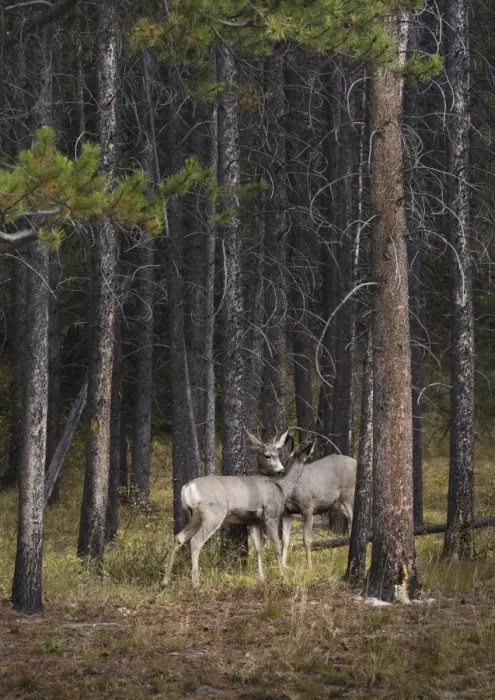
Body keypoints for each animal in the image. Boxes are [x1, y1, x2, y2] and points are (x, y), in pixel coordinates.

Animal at [161, 430, 315, 588]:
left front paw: (261, 577)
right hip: (213, 514)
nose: (280, 470)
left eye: (279, 454)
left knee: (179, 537)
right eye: (267, 456)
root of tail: (188, 488)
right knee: (196, 541)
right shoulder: (271, 514)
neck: (281, 487)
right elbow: (276, 546)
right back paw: (196, 584)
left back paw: (165, 581)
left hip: (195, 516)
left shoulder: (252, 520)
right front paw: (282, 576)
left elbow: (258, 548)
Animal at [249, 430, 357, 569]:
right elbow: (285, 540)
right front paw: (284, 565)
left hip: (349, 495)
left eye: (277, 455)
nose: (280, 470)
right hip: (338, 503)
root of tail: (356, 462)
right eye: (266, 455)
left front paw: (309, 566)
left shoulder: (308, 507)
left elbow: (307, 539)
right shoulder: (287, 513)